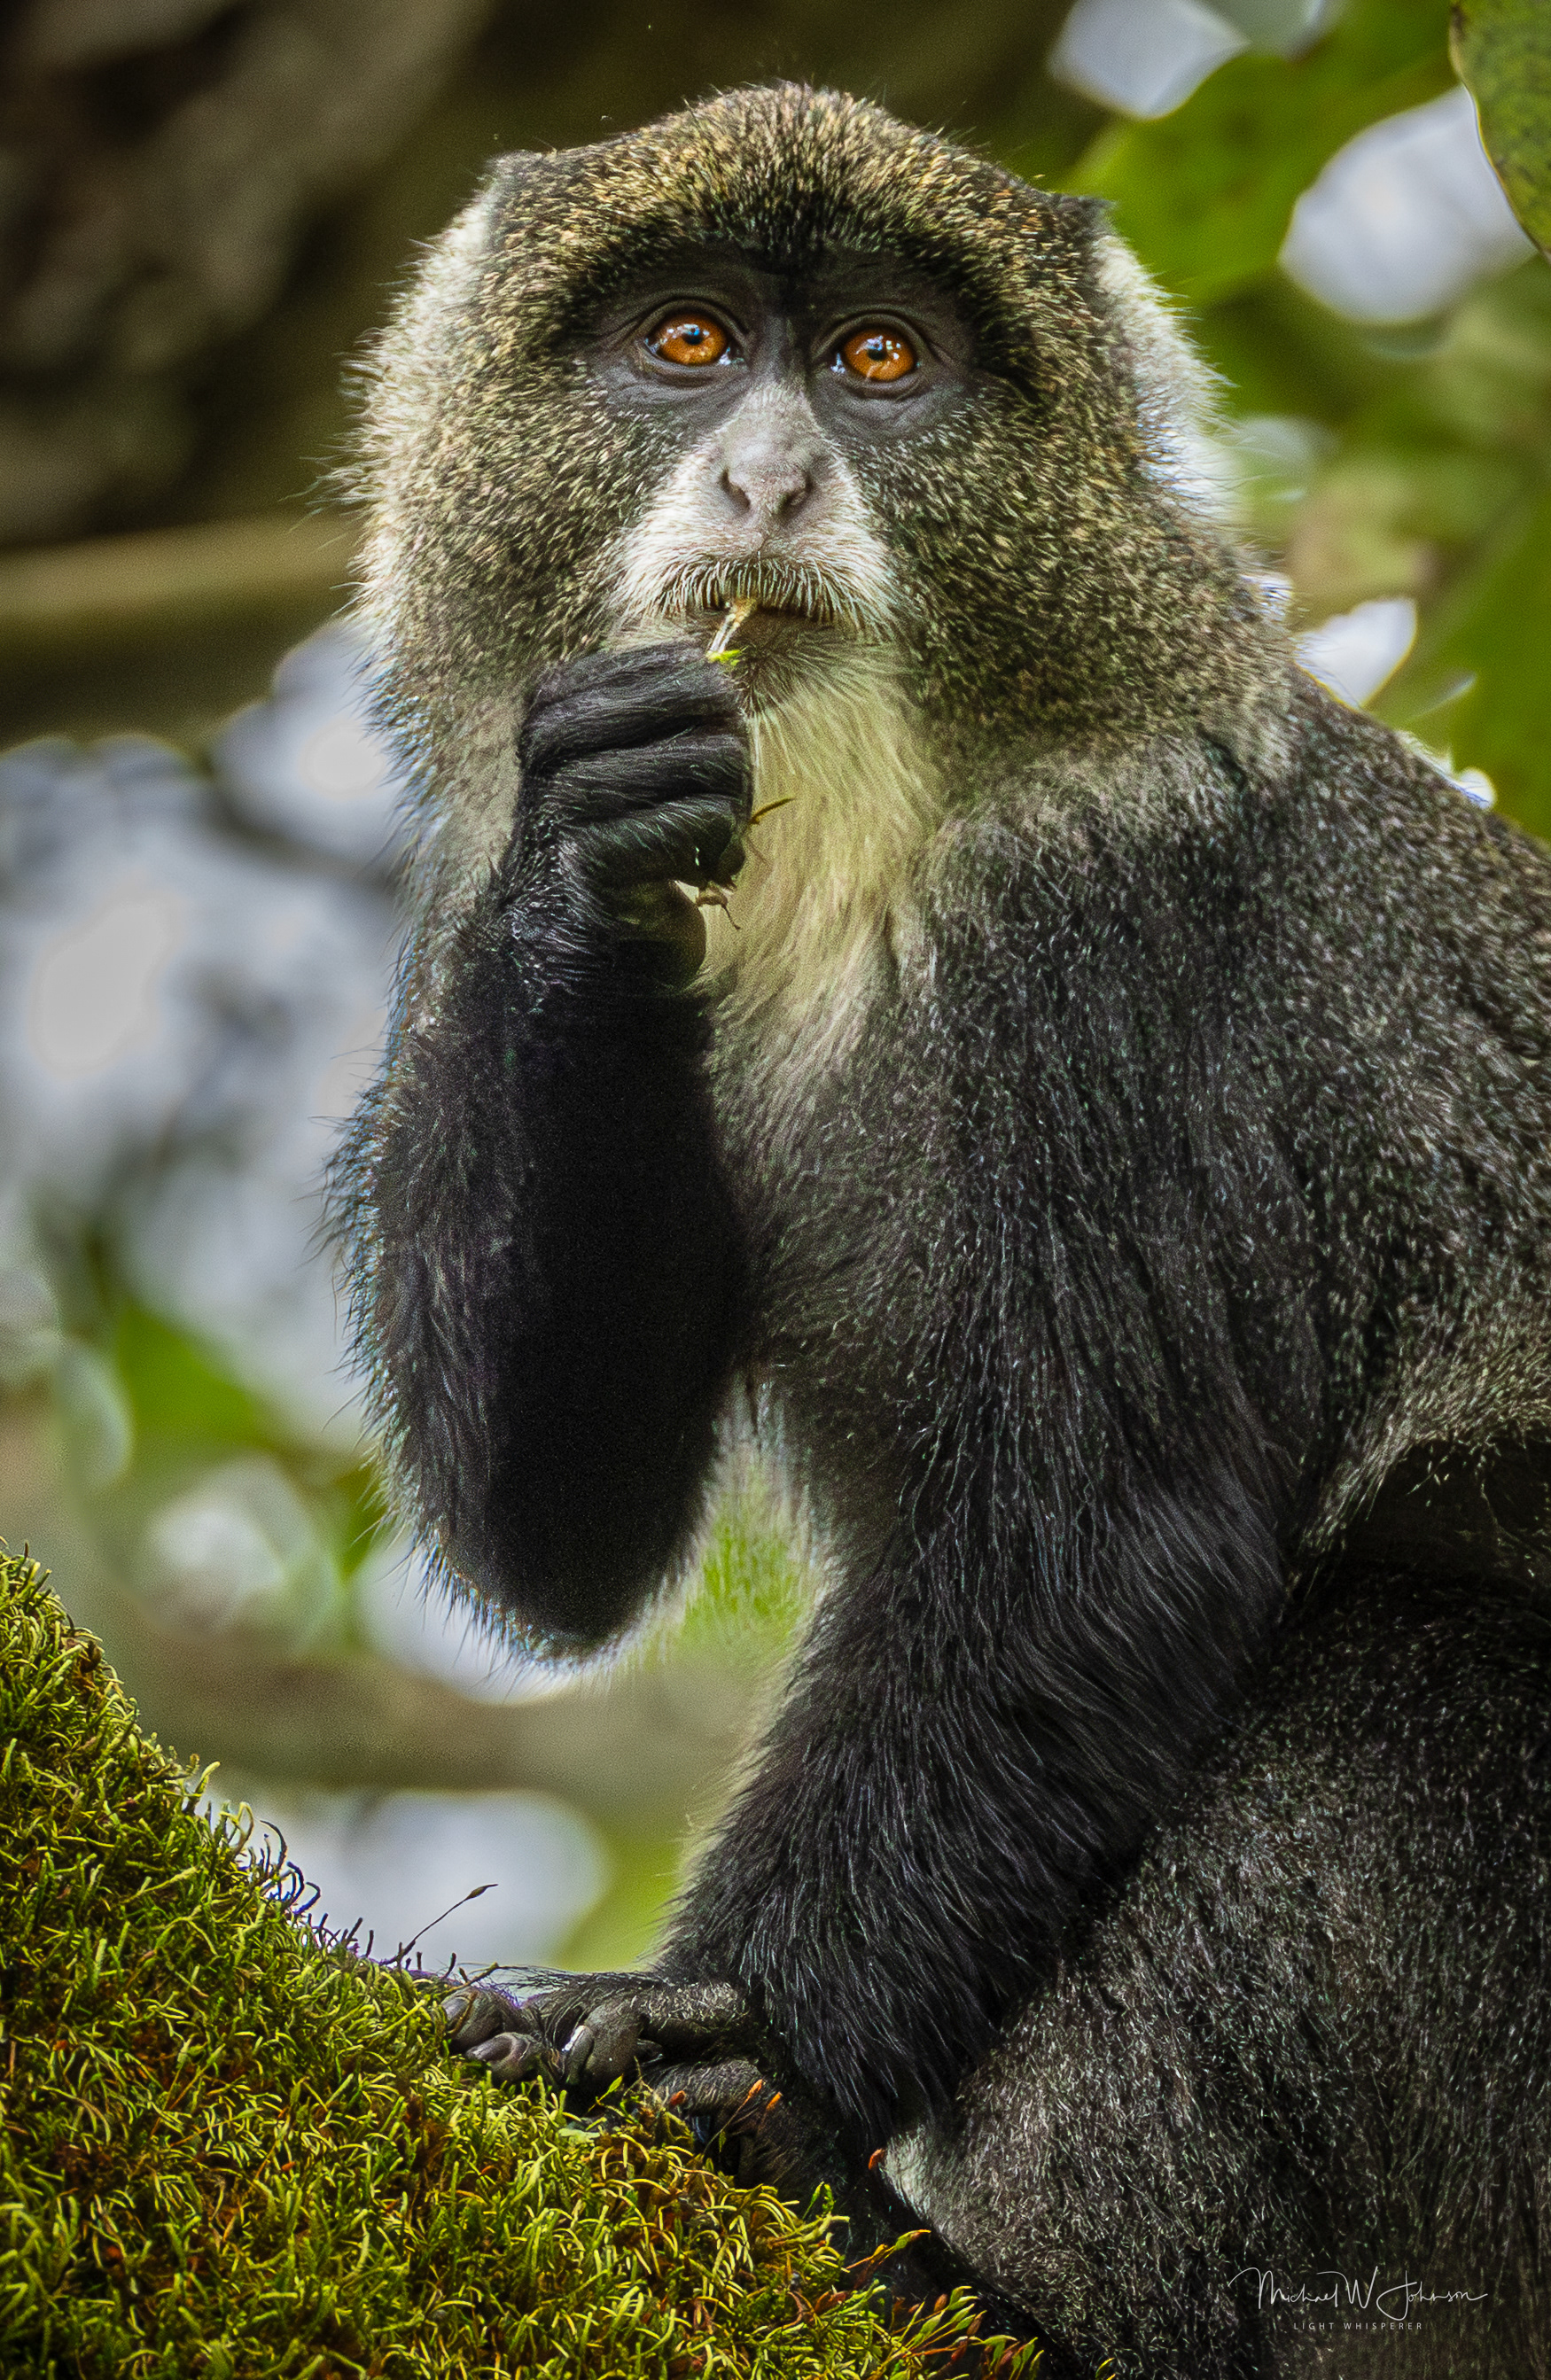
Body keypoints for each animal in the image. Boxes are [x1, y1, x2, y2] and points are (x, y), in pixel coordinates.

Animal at [336, 83, 1551, 2377]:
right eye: (689, 343)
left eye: (883, 362)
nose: (771, 477)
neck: (864, 845)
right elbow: (560, 1523)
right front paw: (587, 861)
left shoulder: (1112, 952)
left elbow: (1093, 1541)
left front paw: (707, 2057)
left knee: (1379, 1680)